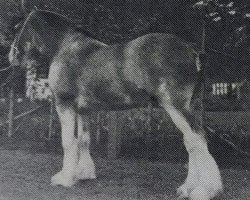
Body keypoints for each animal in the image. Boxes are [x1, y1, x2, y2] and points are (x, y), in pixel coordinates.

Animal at [8, 9, 223, 198]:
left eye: (18, 27)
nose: (11, 56)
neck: (65, 47)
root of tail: (192, 51)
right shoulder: (83, 110)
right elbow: (84, 140)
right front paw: (84, 173)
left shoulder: (64, 104)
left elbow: (68, 142)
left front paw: (65, 178)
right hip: (189, 107)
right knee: (191, 141)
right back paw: (187, 188)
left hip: (176, 107)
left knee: (196, 140)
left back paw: (204, 191)